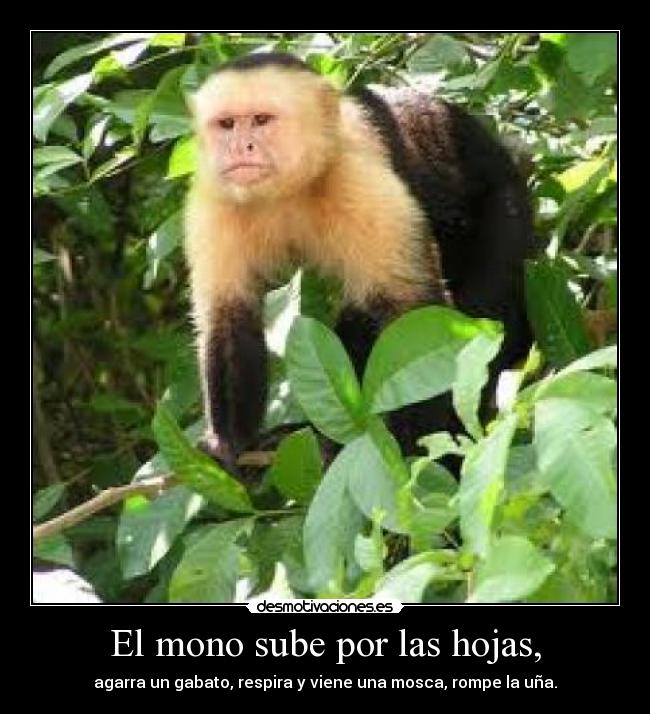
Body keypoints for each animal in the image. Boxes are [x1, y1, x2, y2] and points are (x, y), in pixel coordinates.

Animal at [184, 52, 537, 470]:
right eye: (226, 124)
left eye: (261, 120)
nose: (241, 147)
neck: (290, 189)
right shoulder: (215, 198)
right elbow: (227, 316)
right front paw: (229, 443)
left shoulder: (359, 182)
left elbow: (412, 316)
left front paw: (420, 457)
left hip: (504, 205)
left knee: (488, 301)